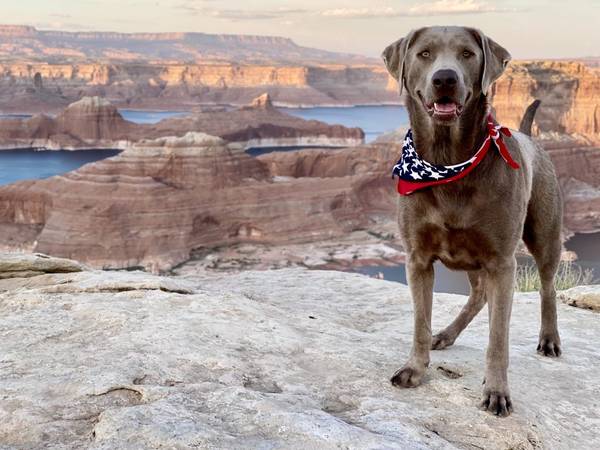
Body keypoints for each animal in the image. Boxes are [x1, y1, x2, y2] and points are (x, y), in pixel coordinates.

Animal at [384, 26, 564, 416]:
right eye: (424, 53)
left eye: (468, 54)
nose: (445, 78)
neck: (448, 162)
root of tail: (529, 136)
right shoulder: (417, 259)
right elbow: (420, 322)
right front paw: (414, 368)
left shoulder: (502, 262)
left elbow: (498, 338)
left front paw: (497, 391)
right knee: (479, 294)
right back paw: (446, 334)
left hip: (545, 235)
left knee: (547, 287)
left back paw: (549, 340)